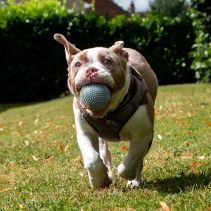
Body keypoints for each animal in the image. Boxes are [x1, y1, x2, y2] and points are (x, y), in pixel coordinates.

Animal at [53, 33, 157, 189]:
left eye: (107, 61)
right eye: (78, 64)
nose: (90, 70)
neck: (108, 114)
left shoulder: (143, 135)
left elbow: (133, 160)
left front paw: (129, 176)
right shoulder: (85, 133)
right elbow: (92, 160)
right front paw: (99, 181)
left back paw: (134, 180)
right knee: (103, 153)